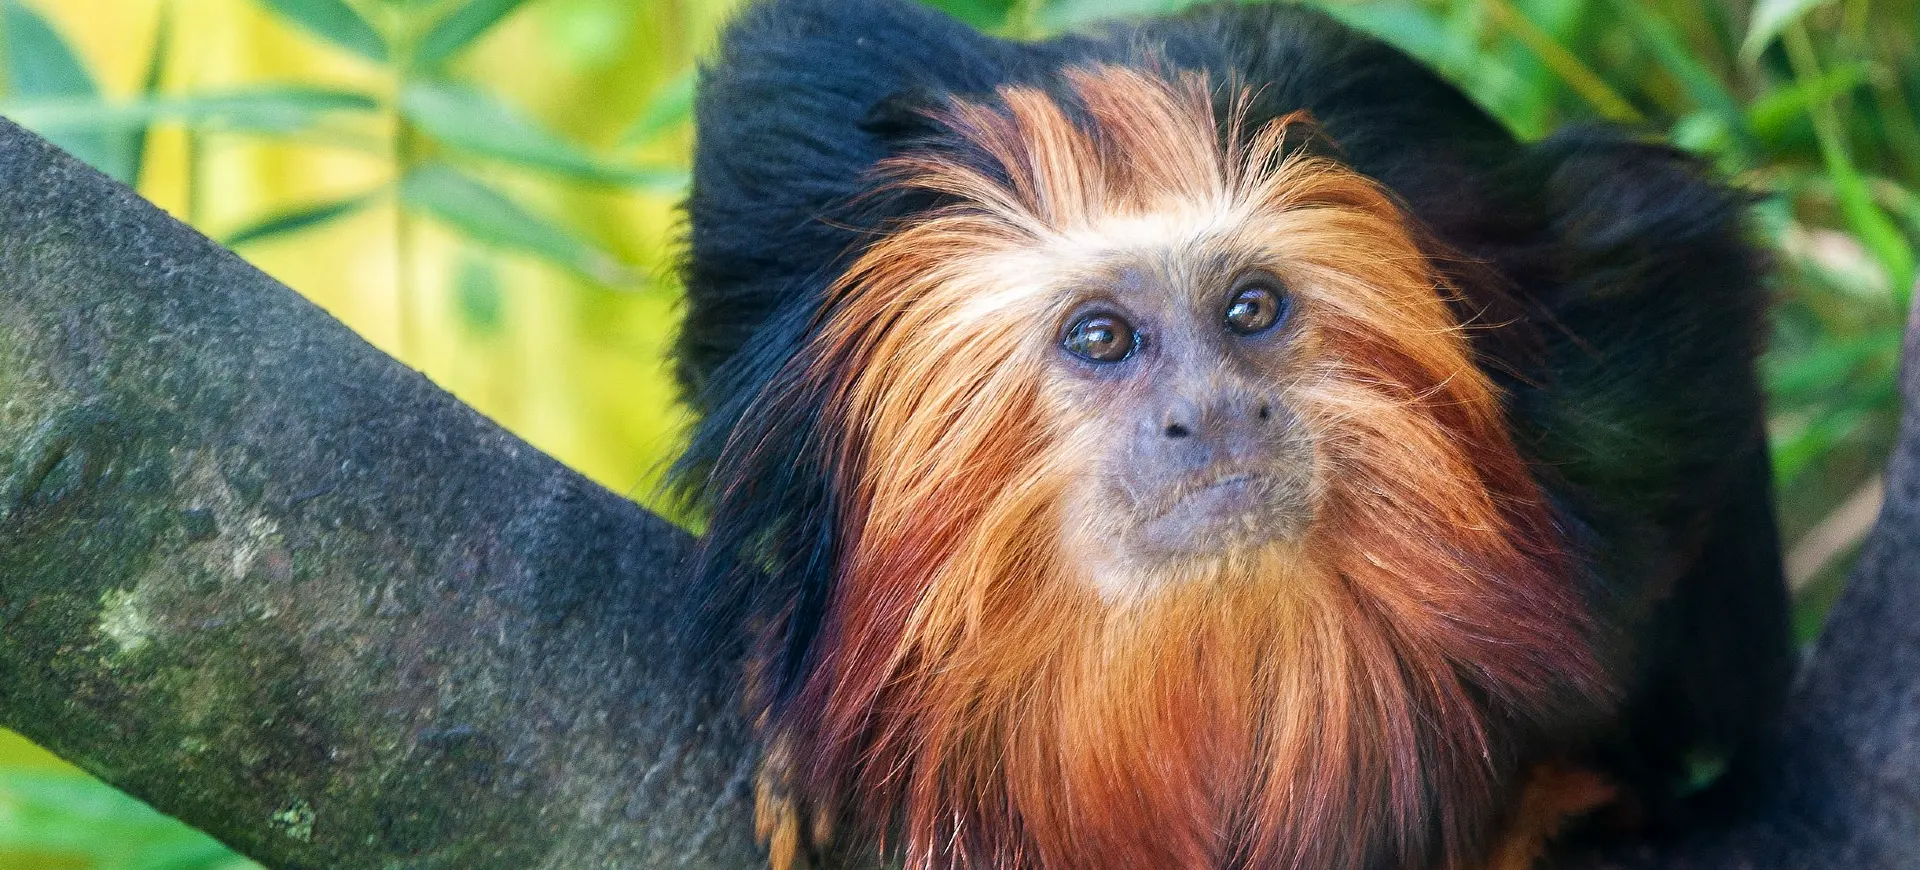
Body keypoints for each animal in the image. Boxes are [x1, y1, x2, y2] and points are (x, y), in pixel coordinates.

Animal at [668, 1, 1789, 868]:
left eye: (1251, 310)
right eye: (1103, 337)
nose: (1212, 413)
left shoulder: (1595, 361)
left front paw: (1507, 801)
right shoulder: (781, 180)